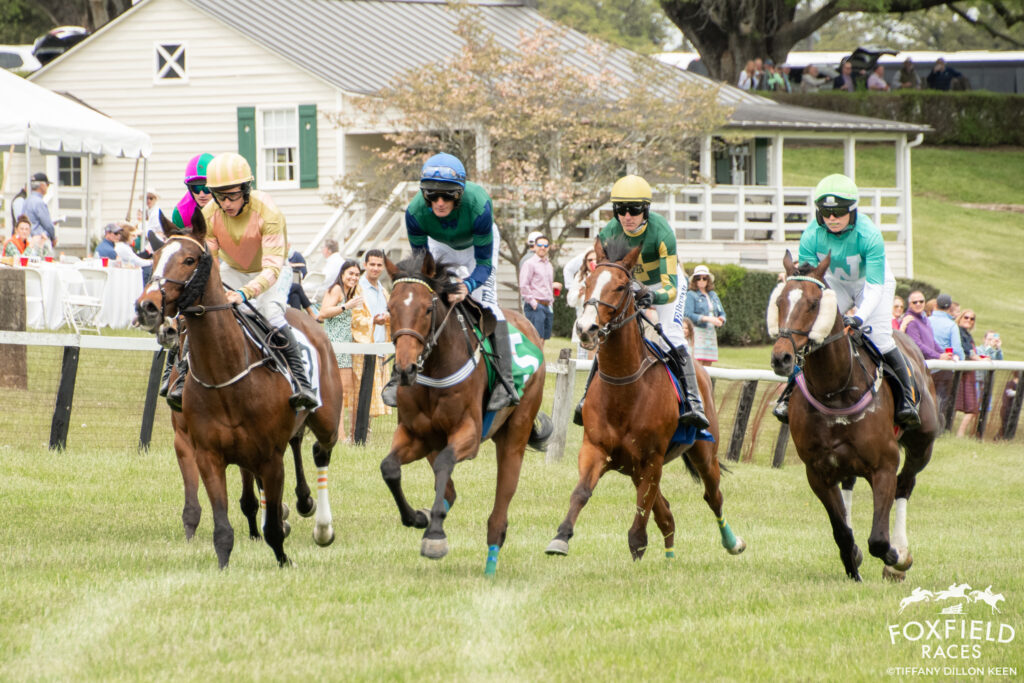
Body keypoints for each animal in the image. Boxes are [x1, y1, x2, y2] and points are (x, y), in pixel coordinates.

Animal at [134, 211, 344, 565]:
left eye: (189, 259)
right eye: (156, 257)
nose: (147, 307)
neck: (226, 373)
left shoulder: (270, 456)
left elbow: (272, 523)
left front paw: (283, 553)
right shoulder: (203, 450)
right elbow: (220, 525)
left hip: (327, 419)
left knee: (320, 451)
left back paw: (322, 526)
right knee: (297, 444)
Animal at [380, 250, 552, 577]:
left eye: (426, 309)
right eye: (389, 308)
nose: (405, 370)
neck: (435, 367)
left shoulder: (468, 434)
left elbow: (446, 462)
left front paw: (434, 536)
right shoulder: (416, 434)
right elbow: (390, 468)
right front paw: (417, 518)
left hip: (515, 433)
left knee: (500, 502)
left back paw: (491, 561)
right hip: (434, 442)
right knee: (447, 491)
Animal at [544, 239, 745, 561]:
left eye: (620, 286)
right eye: (587, 281)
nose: (586, 329)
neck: (624, 388)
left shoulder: (652, 458)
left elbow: (642, 510)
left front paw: (637, 547)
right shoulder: (596, 449)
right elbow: (582, 492)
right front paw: (560, 537)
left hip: (702, 452)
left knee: (712, 495)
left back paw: (732, 542)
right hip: (634, 468)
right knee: (667, 514)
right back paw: (670, 558)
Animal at [765, 250, 937, 581]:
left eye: (814, 304)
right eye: (779, 302)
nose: (782, 358)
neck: (835, 390)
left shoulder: (884, 465)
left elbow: (879, 539)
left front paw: (894, 557)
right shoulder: (817, 471)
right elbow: (842, 532)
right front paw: (853, 564)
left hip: (922, 446)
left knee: (905, 485)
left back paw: (901, 556)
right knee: (848, 486)